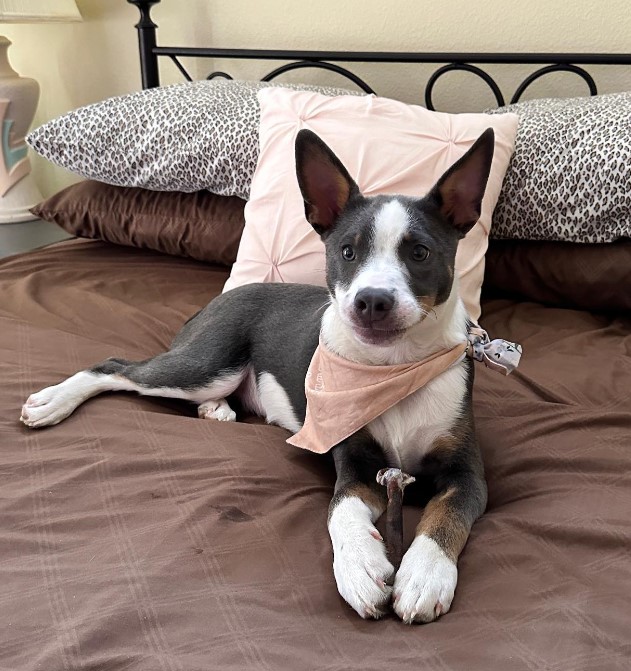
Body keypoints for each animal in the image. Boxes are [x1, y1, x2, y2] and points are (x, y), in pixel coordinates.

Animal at [19, 127, 494, 624]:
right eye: (348, 251)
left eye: (420, 253)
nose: (372, 301)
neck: (392, 368)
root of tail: (218, 299)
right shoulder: (353, 463)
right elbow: (340, 510)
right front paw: (360, 566)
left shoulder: (468, 475)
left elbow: (447, 517)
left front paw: (424, 574)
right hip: (206, 363)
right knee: (116, 367)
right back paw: (54, 401)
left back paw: (215, 411)